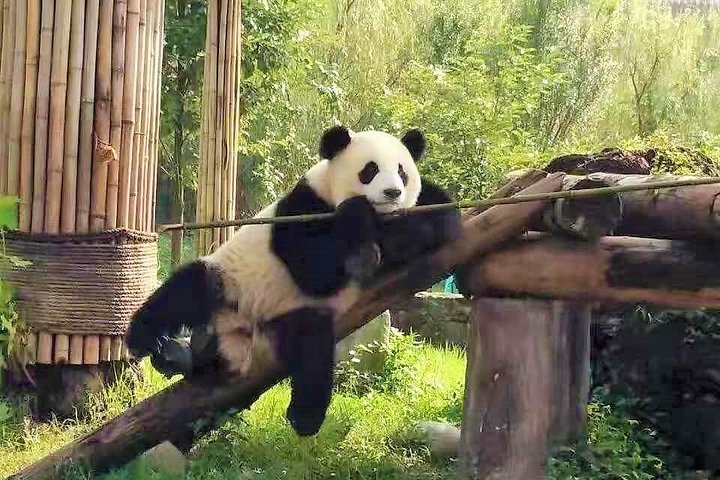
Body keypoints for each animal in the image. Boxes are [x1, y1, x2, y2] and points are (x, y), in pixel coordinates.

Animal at [125, 125, 468, 437]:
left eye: (401, 172)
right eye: (369, 170)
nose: (393, 193)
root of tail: (238, 327)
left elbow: (441, 220)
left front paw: (376, 244)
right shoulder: (301, 208)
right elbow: (313, 269)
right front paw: (359, 233)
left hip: (294, 317)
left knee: (311, 350)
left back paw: (301, 416)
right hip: (228, 279)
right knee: (187, 289)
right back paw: (150, 343)